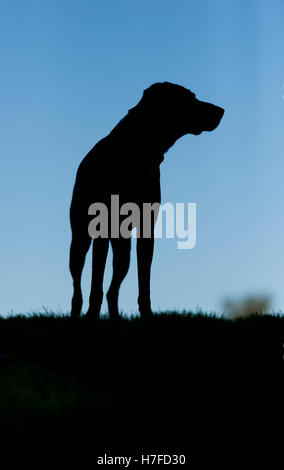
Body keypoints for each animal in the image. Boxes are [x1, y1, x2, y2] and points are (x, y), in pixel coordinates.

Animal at [69, 83, 224, 320]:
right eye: (189, 98)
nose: (222, 111)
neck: (138, 150)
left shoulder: (146, 229)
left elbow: (144, 280)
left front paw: (147, 315)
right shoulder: (102, 228)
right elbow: (96, 280)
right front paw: (92, 316)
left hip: (122, 250)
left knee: (113, 287)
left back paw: (115, 318)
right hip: (80, 239)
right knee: (78, 283)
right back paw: (78, 313)